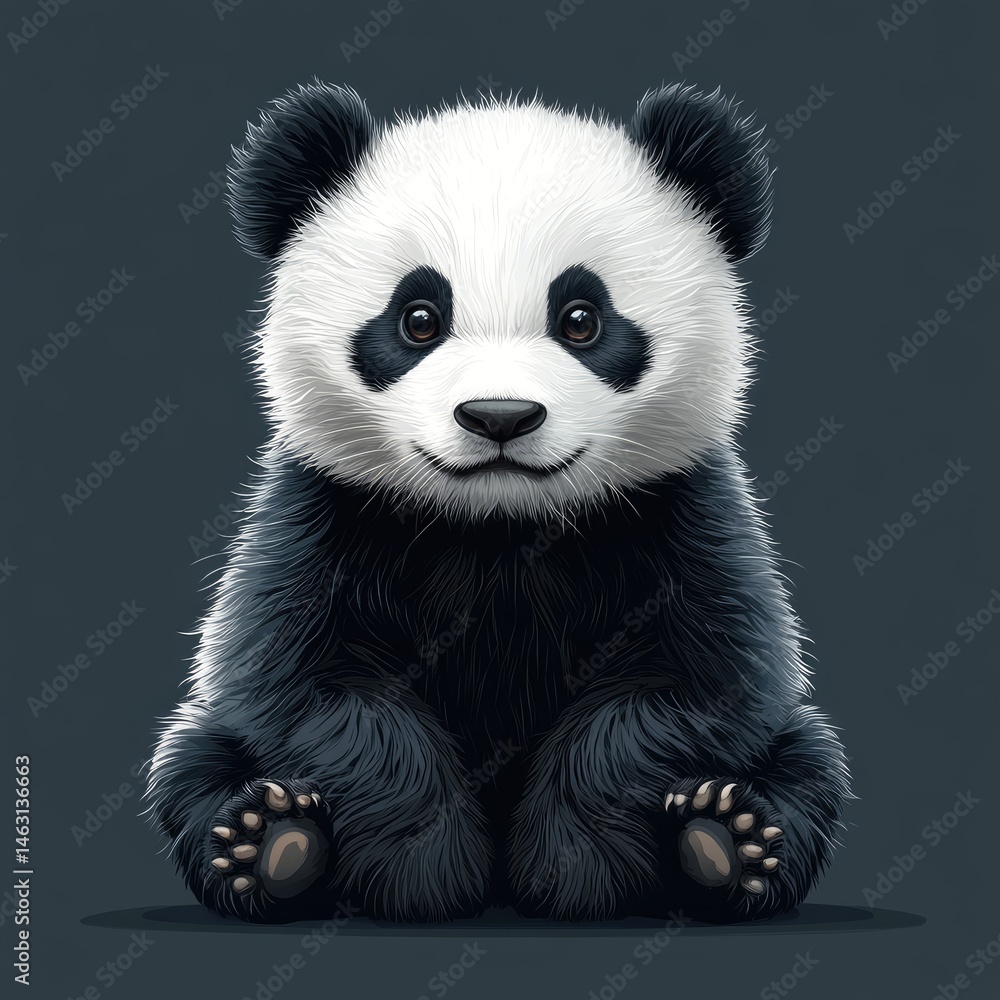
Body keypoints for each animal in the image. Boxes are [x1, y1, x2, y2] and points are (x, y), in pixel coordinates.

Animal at [146, 80, 850, 925]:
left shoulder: (684, 516)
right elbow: (310, 688)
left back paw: (727, 836)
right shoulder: (322, 516)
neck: (501, 528)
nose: (500, 417)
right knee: (194, 758)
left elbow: (691, 689)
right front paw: (425, 870)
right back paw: (269, 840)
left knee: (807, 764)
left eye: (582, 319)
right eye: (418, 318)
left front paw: (571, 870)